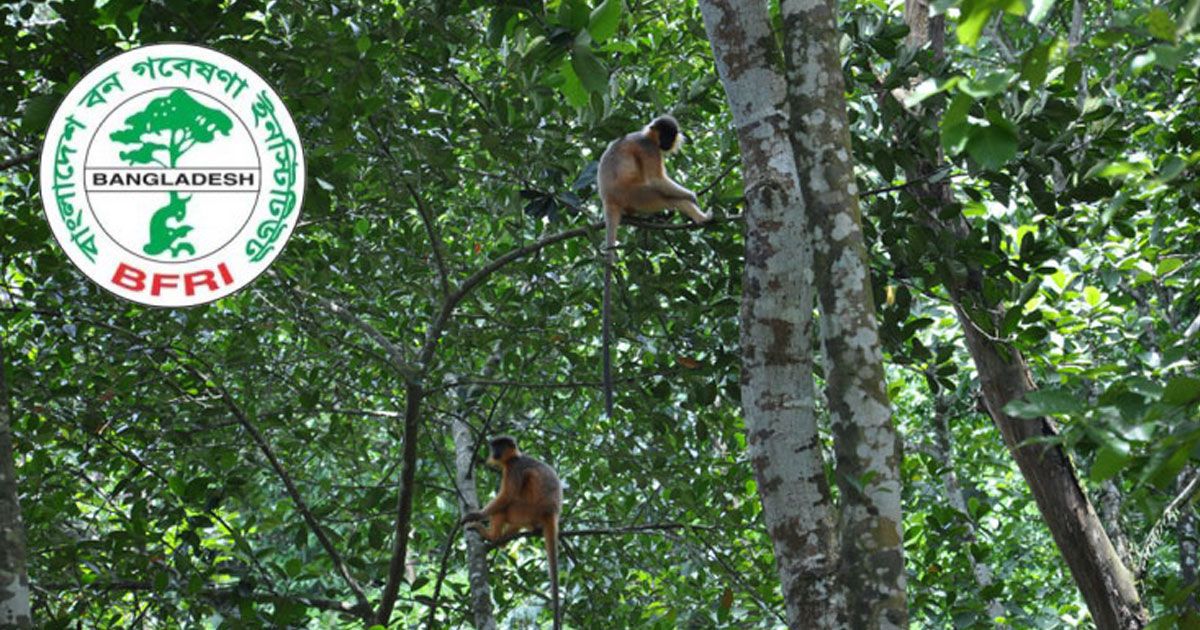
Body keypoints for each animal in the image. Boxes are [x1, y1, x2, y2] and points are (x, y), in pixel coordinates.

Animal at [463, 434, 566, 628]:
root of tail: (552, 512)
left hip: (528, 509)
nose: (494, 452)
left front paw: (478, 514)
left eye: (500, 446)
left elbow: (506, 496)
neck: (513, 458)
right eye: (493, 446)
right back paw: (502, 541)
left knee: (505, 507)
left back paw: (492, 536)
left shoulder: (514, 468)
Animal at [595, 115, 705, 415]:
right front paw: (693, 196)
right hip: (637, 194)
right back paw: (700, 217)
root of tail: (609, 199)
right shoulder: (649, 149)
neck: (646, 135)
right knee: (662, 192)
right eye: (664, 136)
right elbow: (658, 179)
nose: (668, 143)